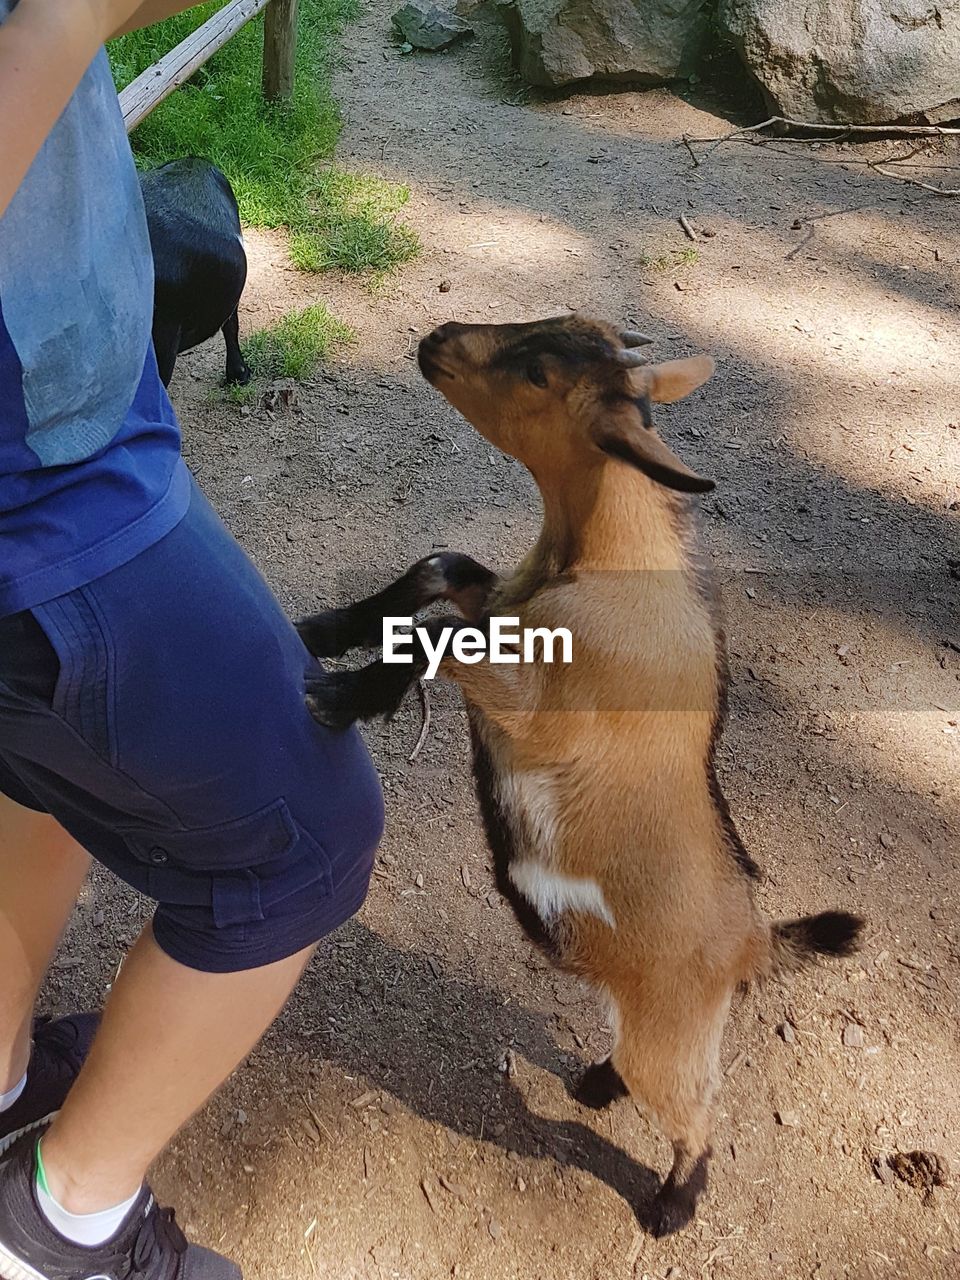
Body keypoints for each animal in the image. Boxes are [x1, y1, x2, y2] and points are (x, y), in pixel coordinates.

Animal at [299, 314, 865, 1233]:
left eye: (537, 374)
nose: (438, 337)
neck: (601, 566)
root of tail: (750, 943)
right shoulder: (499, 604)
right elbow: (441, 567)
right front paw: (324, 628)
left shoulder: (538, 712)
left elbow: (440, 633)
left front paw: (341, 696)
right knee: (636, 1063)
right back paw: (595, 1083)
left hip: (674, 1034)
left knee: (695, 1116)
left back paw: (671, 1206)